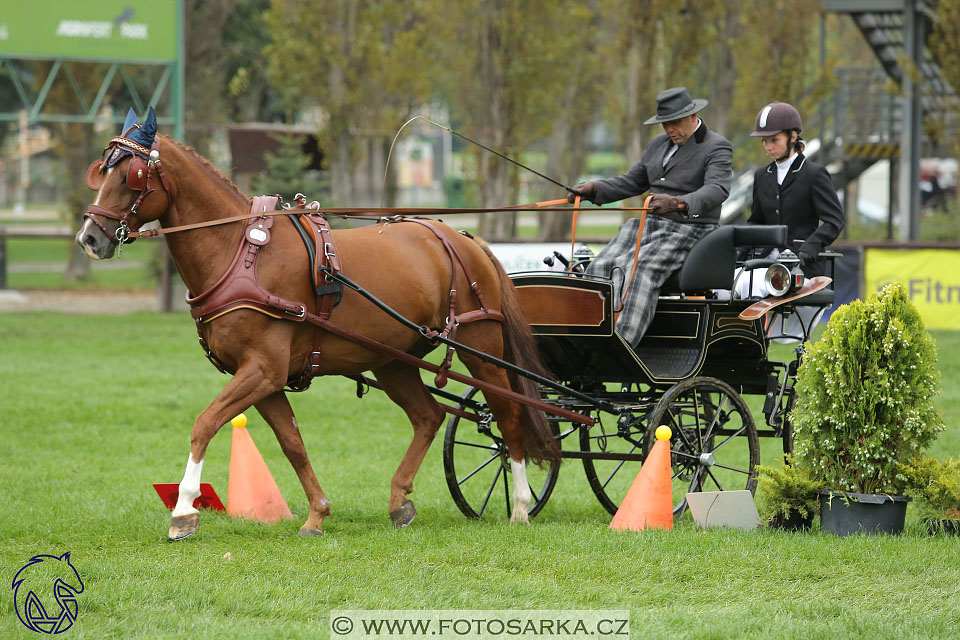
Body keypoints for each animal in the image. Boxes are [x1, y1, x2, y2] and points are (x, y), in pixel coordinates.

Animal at [79, 110, 560, 540]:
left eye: (131, 176)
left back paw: (520, 507)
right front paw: (317, 514)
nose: (89, 238)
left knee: (509, 415)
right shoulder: (264, 379)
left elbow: (205, 423)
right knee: (429, 416)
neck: (240, 253)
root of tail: (465, 238)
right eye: (101, 172)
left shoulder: (263, 369)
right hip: (392, 358)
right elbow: (292, 443)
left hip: (483, 347)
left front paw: (183, 511)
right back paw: (399, 501)